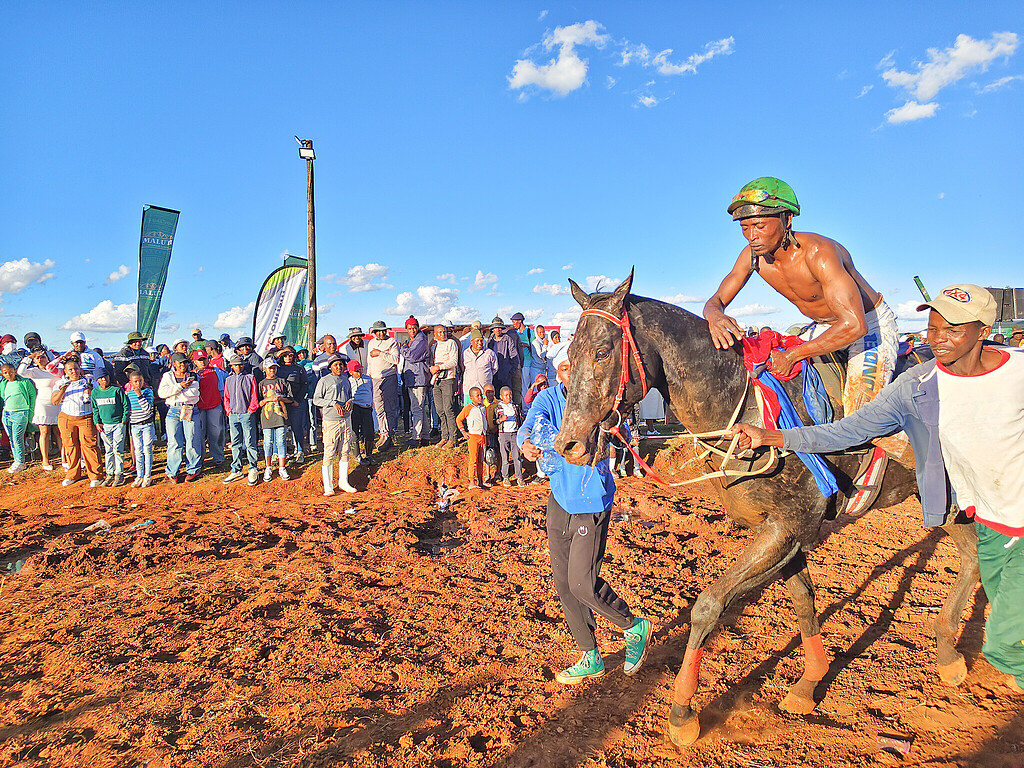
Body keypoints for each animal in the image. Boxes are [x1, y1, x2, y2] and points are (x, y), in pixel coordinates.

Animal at [553, 271, 980, 749]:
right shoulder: (780, 531)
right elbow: (804, 601)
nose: (569, 444)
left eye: (602, 351)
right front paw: (809, 683)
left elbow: (709, 604)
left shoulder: (788, 528)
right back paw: (948, 651)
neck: (747, 409)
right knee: (970, 556)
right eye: (569, 353)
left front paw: (683, 712)